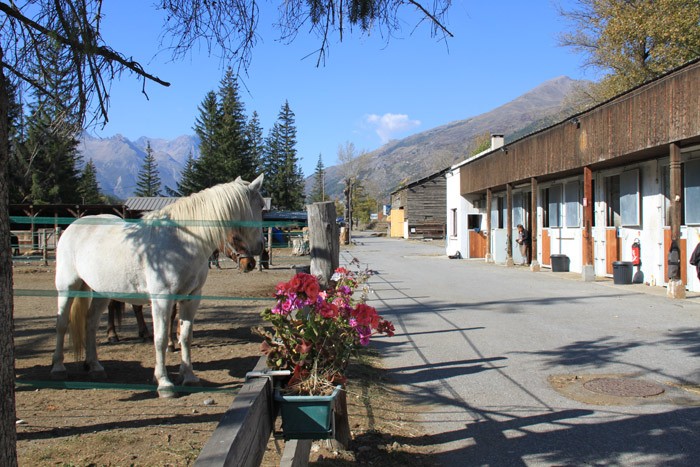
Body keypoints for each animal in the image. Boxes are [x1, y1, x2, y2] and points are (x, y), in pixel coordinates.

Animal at [51, 176, 266, 398]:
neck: (182, 242)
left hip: (102, 292)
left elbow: (186, 336)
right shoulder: (162, 299)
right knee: (62, 323)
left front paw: (189, 377)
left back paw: (95, 367)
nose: (260, 248)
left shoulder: (191, 298)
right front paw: (164, 383)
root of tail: (74, 226)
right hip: (67, 286)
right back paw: (58, 368)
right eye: (260, 205)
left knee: (90, 323)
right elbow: (161, 339)